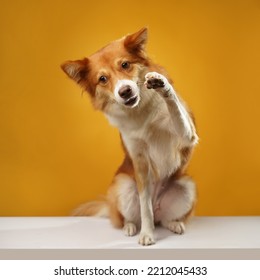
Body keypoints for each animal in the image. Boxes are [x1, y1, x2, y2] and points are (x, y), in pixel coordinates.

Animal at [61, 26, 199, 245]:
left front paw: (163, 86)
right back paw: (130, 226)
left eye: (125, 64)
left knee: (165, 218)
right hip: (122, 184)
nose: (125, 91)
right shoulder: (139, 160)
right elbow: (145, 208)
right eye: (102, 79)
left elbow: (174, 108)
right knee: (135, 216)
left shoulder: (187, 135)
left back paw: (174, 224)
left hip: (186, 185)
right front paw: (147, 234)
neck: (140, 111)